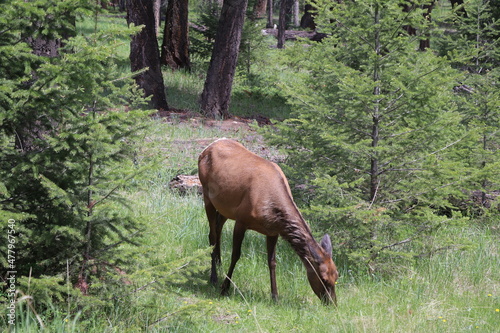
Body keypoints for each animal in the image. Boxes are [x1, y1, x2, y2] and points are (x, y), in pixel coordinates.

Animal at [197, 137, 338, 304]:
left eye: (336, 276)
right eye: (323, 279)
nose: (332, 303)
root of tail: (207, 148)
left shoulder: (272, 232)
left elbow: (272, 262)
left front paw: (275, 296)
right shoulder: (241, 220)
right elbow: (235, 255)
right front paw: (225, 288)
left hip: (225, 207)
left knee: (217, 228)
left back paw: (219, 265)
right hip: (207, 195)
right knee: (212, 235)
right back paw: (213, 277)